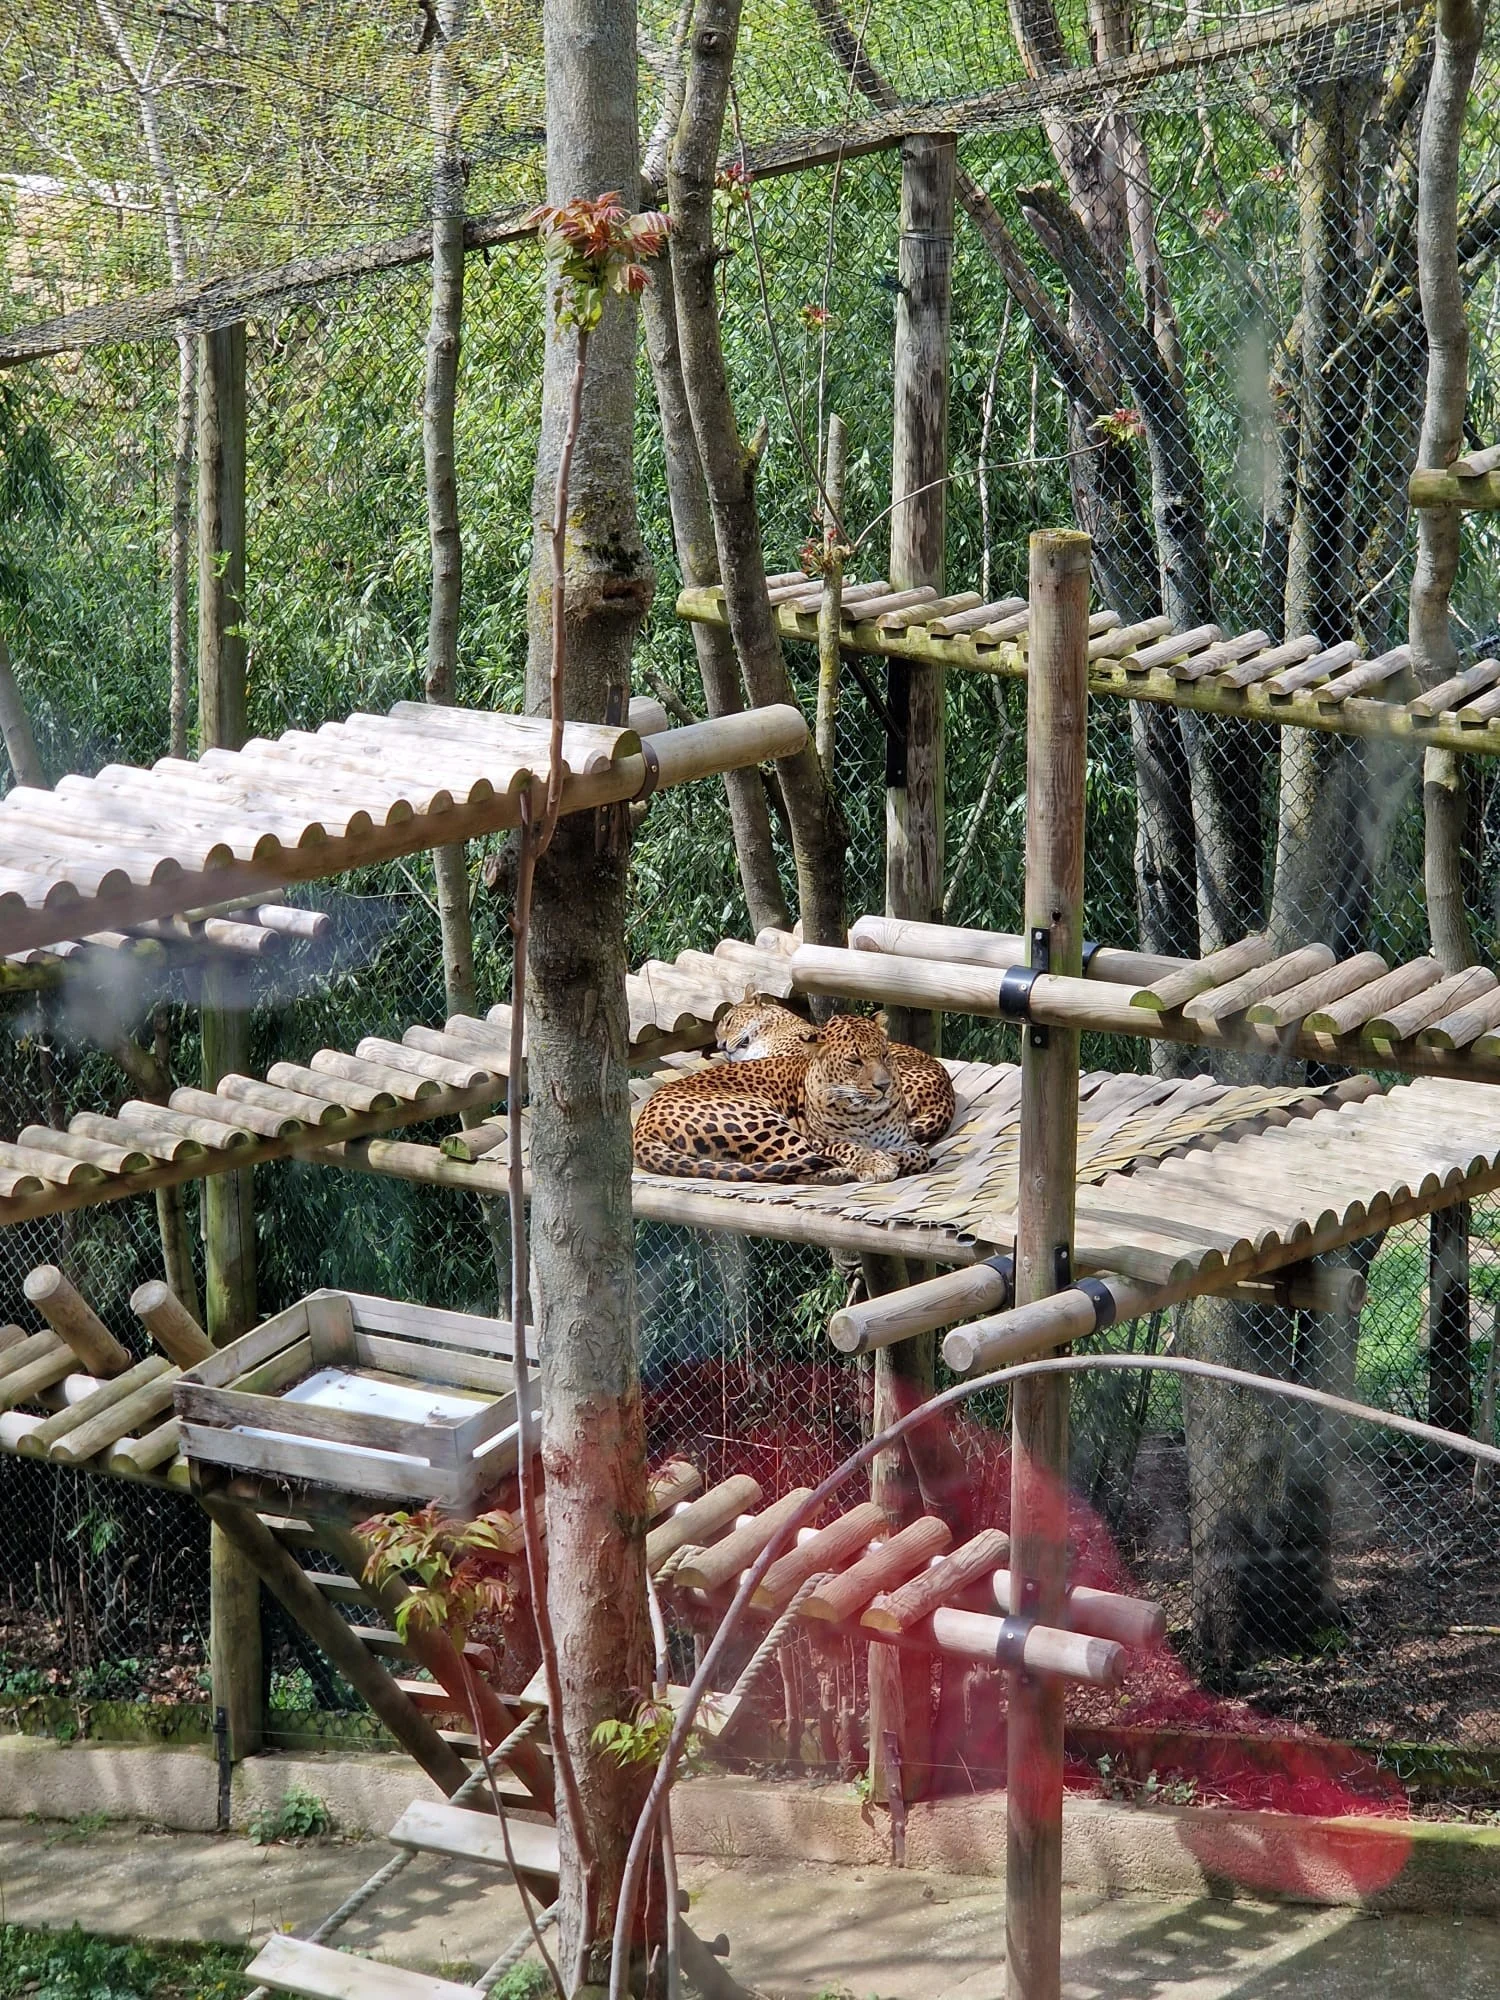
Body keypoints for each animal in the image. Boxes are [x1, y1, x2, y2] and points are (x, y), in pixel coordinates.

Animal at [633, 1012, 932, 1183]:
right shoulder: (822, 1140)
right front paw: (875, 1162)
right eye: (854, 1061)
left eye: (884, 1055)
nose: (884, 1086)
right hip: (758, 1116)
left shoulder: (906, 1142)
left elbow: (918, 1155)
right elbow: (846, 1146)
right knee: (802, 1163)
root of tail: (643, 1122)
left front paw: (886, 1157)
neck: (865, 1114)